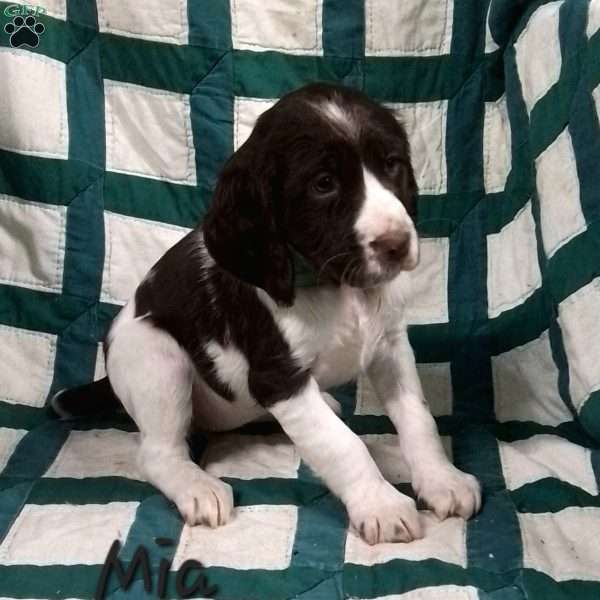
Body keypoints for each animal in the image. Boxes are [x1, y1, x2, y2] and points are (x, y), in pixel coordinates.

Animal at [54, 82, 480, 548]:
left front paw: (442, 479)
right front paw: (381, 504)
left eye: (391, 165)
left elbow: (418, 417)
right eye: (324, 184)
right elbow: (342, 445)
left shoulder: (390, 346)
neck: (337, 287)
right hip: (156, 356)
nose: (397, 244)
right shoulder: (279, 379)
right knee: (157, 453)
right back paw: (196, 486)